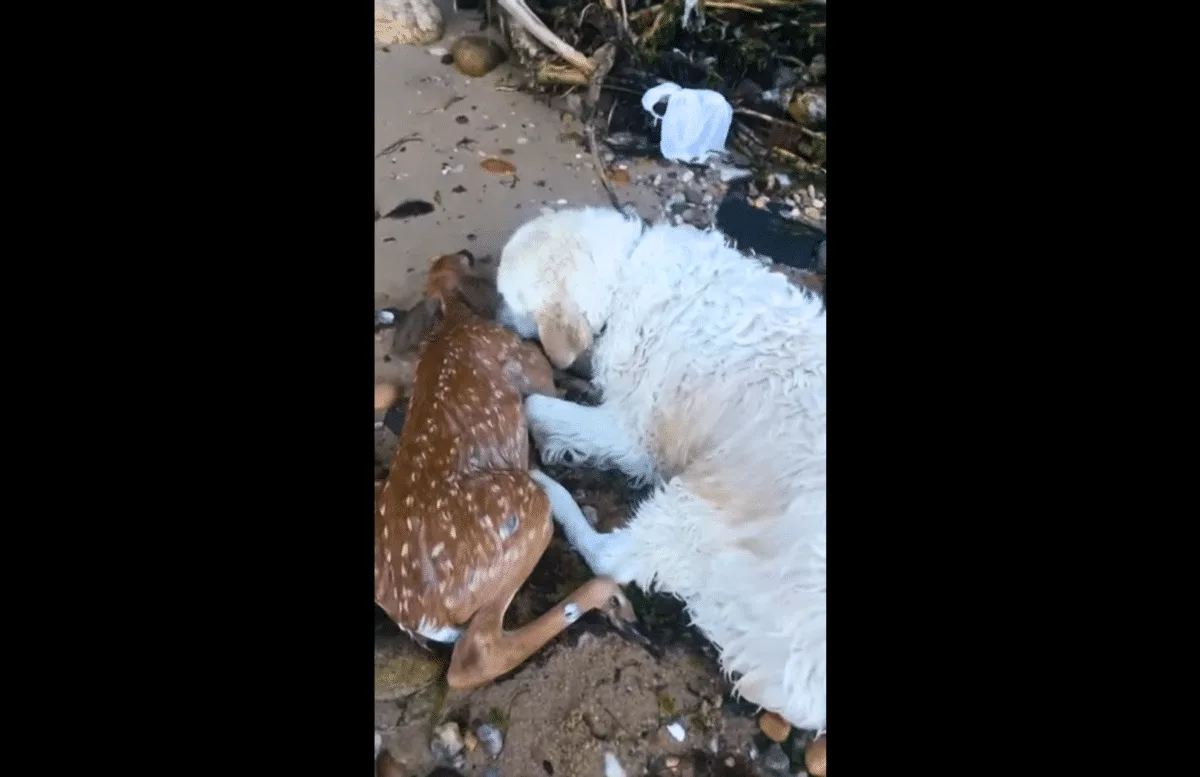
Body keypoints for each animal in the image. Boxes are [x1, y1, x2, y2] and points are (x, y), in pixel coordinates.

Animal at [494, 205, 825, 729]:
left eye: (508, 297)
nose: (496, 318)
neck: (625, 274)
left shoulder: (631, 431)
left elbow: (534, 405)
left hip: (695, 505)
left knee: (612, 558)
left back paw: (549, 491)